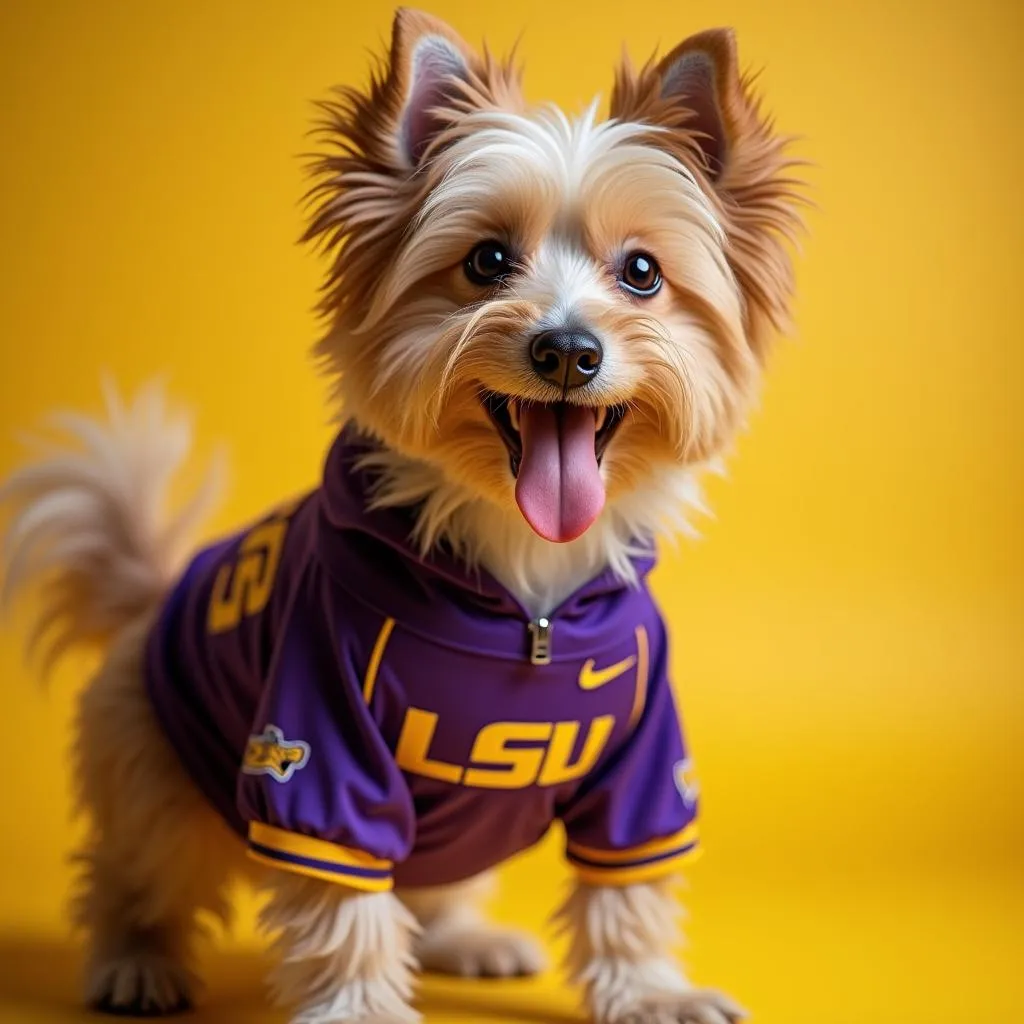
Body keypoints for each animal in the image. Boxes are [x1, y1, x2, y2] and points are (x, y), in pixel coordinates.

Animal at [0, 9, 802, 1024]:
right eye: (488, 261)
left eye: (643, 273)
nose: (568, 350)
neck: (525, 587)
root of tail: (151, 603)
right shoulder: (315, 743)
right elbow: (345, 902)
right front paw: (356, 1005)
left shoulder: (646, 762)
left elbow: (629, 888)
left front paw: (651, 991)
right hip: (155, 765)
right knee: (135, 868)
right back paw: (134, 962)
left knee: (434, 882)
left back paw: (464, 938)